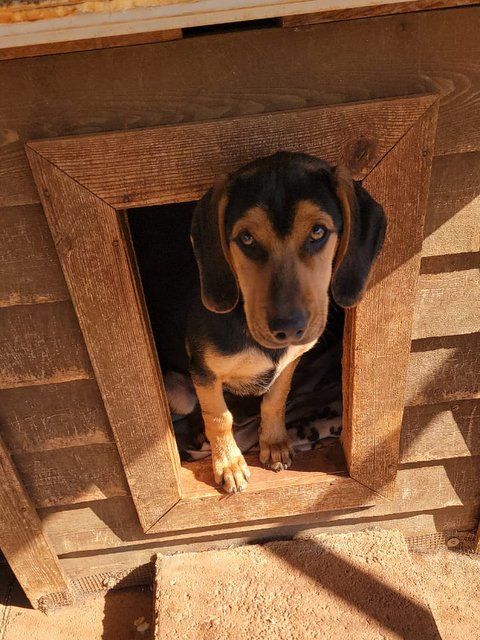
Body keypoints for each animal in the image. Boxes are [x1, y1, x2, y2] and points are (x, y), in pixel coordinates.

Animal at [133, 151, 386, 493]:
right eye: (247, 238)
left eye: (318, 231)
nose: (289, 327)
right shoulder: (204, 373)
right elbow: (219, 417)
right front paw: (228, 463)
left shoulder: (290, 363)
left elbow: (275, 401)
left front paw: (275, 443)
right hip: (181, 394)